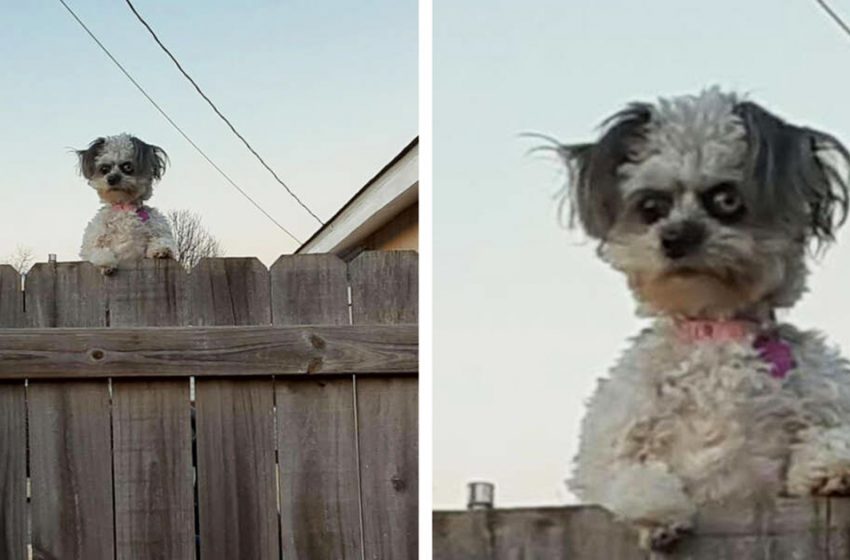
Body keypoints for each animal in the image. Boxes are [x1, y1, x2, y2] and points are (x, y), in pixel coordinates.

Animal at [76, 131, 176, 272]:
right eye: (104, 169)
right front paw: (105, 262)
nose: (112, 178)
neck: (124, 206)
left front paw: (161, 249)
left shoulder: (158, 228)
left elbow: (162, 239)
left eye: (127, 166)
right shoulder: (92, 242)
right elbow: (97, 250)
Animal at [552, 88, 848, 552]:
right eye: (651, 206)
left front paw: (828, 467)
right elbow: (627, 474)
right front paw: (658, 513)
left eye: (726, 199)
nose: (675, 238)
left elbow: (831, 434)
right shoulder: (609, 446)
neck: (715, 331)